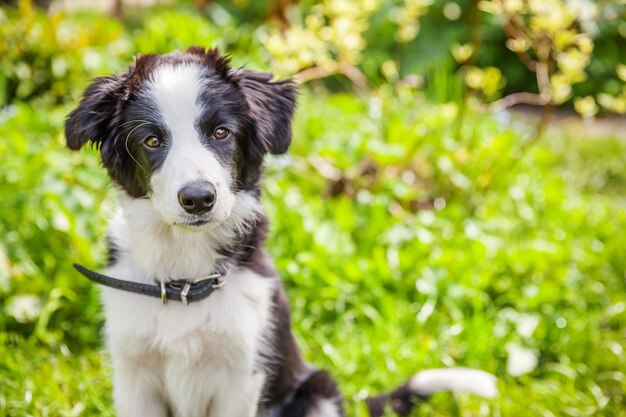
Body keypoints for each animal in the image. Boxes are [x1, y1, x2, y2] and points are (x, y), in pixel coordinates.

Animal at [63, 47, 492, 416]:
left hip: (316, 392)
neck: (185, 279)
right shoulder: (133, 375)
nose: (199, 199)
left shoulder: (242, 375)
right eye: (151, 140)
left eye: (221, 133)